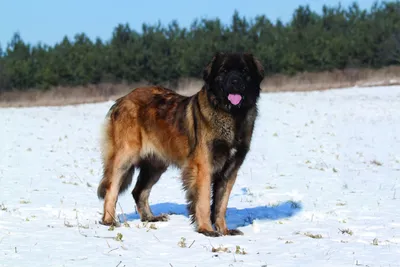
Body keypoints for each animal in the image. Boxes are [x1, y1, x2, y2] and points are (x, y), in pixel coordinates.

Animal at [97, 51, 266, 237]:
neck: (231, 114)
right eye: (223, 71)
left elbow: (221, 204)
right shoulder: (203, 167)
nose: (235, 82)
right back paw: (109, 220)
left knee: (139, 191)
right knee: (112, 188)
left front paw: (224, 230)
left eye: (244, 71)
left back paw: (150, 218)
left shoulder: (229, 171)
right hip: (126, 156)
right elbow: (204, 200)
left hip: (156, 164)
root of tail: (121, 100)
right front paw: (207, 229)